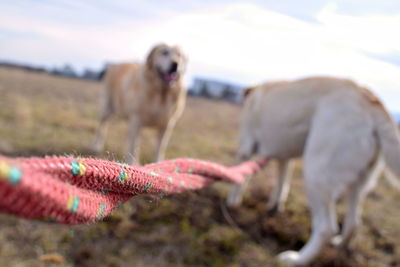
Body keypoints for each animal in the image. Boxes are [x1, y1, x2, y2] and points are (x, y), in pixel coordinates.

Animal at [228, 77, 400, 266]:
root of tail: (370, 100)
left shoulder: (245, 150)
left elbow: (240, 180)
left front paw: (232, 203)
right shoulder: (285, 159)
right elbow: (281, 185)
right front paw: (274, 207)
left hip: (315, 174)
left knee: (326, 228)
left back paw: (297, 259)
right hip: (358, 183)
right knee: (353, 222)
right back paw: (339, 247)